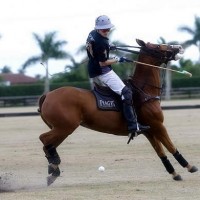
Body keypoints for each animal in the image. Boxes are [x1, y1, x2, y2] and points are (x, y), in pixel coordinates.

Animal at [38, 38, 198, 185]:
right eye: (158, 46)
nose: (179, 47)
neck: (144, 91)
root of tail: (47, 95)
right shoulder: (158, 125)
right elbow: (170, 146)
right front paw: (189, 166)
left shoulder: (149, 130)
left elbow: (161, 152)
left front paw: (174, 173)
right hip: (65, 127)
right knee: (44, 139)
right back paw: (54, 168)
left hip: (62, 129)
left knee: (49, 145)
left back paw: (53, 170)